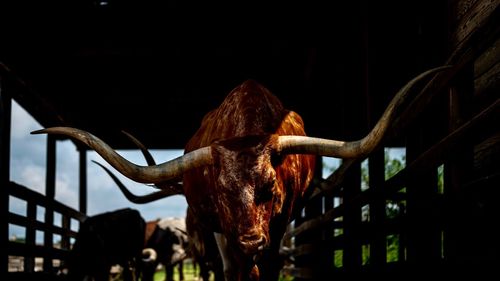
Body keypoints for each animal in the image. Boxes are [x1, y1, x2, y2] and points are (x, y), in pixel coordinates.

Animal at [35, 65, 450, 278]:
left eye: (271, 188)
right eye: (221, 193)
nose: (251, 240)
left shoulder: (277, 227)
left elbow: (265, 266)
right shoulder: (221, 233)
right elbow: (232, 269)